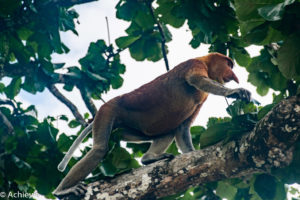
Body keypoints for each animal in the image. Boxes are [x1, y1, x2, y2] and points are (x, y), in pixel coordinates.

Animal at [53, 52, 251, 196]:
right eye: (228, 64)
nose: (233, 75)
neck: (206, 62)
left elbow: (182, 128)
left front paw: (192, 154)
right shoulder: (194, 65)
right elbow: (198, 81)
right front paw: (236, 92)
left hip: (129, 128)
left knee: (168, 131)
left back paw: (149, 158)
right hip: (107, 111)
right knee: (99, 150)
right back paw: (61, 191)